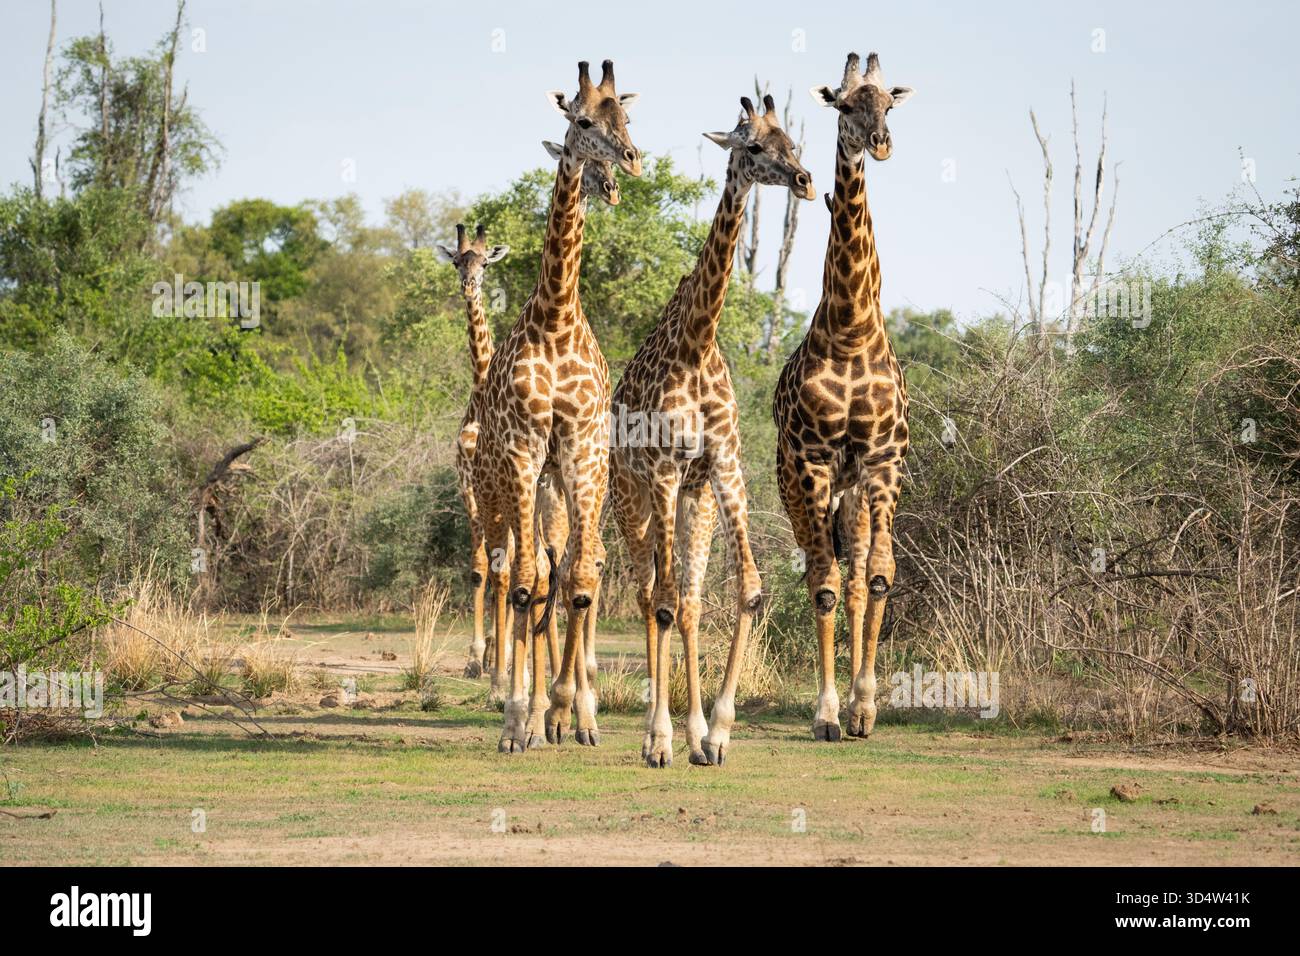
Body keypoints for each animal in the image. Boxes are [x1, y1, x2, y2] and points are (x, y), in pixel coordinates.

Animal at [611, 94, 814, 768]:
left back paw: (697, 732)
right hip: (632, 499)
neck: (697, 345)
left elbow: (747, 589)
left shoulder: (722, 465)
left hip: (692, 500)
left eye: (792, 142)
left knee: (692, 598)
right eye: (752, 147)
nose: (804, 180)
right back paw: (654, 733)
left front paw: (719, 731)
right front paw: (661, 740)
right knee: (652, 594)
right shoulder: (665, 470)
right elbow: (664, 602)